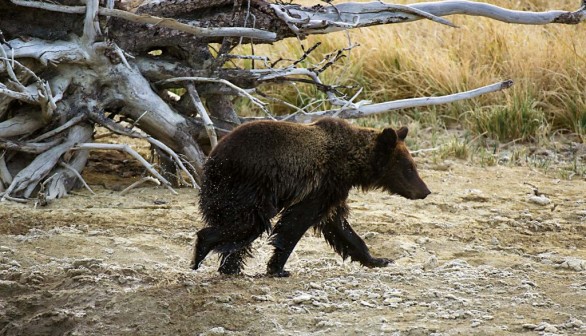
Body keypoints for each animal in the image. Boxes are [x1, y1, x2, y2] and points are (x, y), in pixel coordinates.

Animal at [192, 117, 428, 276]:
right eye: (409, 167)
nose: (425, 190)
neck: (352, 163)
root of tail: (211, 159)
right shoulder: (322, 183)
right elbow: (297, 222)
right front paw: (278, 268)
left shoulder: (333, 191)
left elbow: (339, 226)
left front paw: (378, 259)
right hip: (247, 188)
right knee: (247, 225)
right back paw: (202, 253)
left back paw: (230, 267)